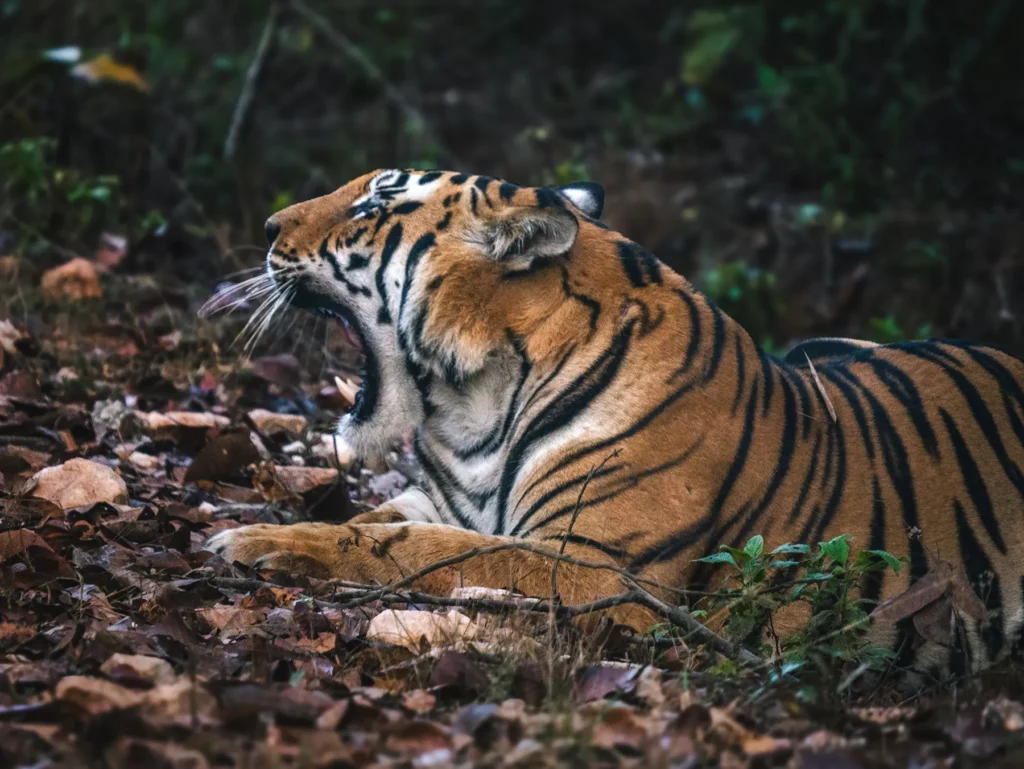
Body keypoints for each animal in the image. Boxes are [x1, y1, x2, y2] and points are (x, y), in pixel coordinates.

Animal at [206, 168, 1024, 676]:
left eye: (372, 206)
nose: (269, 226)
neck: (476, 405)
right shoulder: (437, 499)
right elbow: (373, 523)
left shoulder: (598, 568)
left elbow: (420, 549)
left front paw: (259, 543)